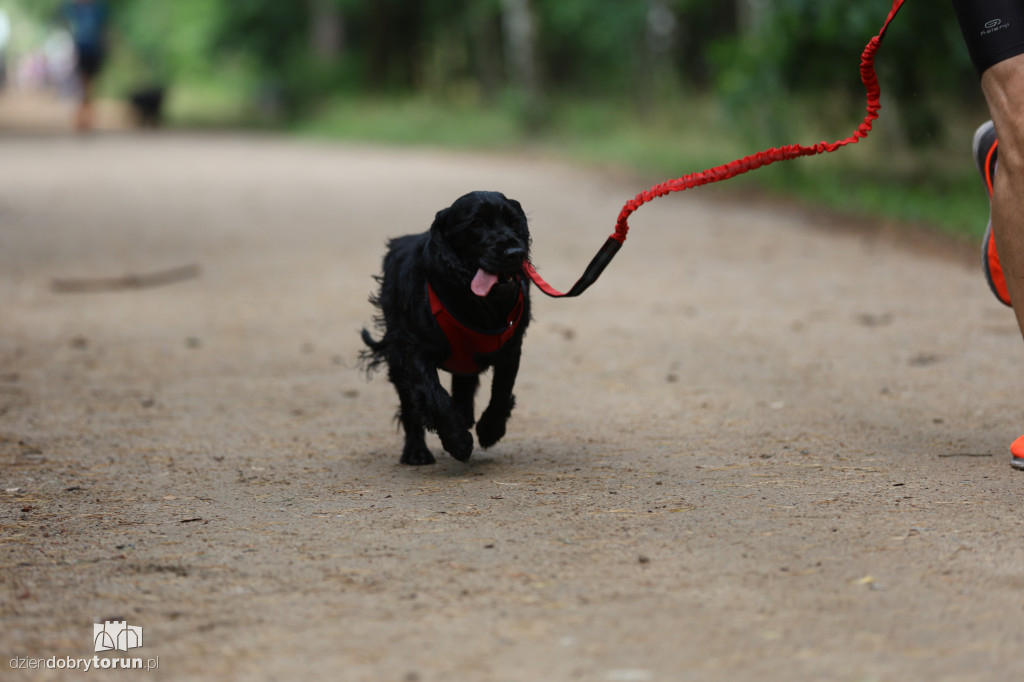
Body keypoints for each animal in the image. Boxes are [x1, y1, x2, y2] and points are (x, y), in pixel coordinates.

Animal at [360, 191, 532, 466]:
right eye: (476, 224)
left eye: (514, 222)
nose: (516, 253)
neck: (477, 303)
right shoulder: (414, 352)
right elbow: (436, 397)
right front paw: (457, 441)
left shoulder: (511, 348)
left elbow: (502, 391)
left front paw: (490, 429)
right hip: (397, 356)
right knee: (409, 405)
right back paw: (416, 452)